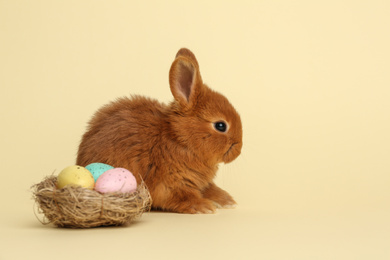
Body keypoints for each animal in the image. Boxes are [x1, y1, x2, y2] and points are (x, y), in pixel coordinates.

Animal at [76, 48, 242, 213]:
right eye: (220, 126)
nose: (238, 150)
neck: (180, 139)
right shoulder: (171, 184)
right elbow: (183, 197)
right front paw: (204, 207)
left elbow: (211, 190)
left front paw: (227, 201)